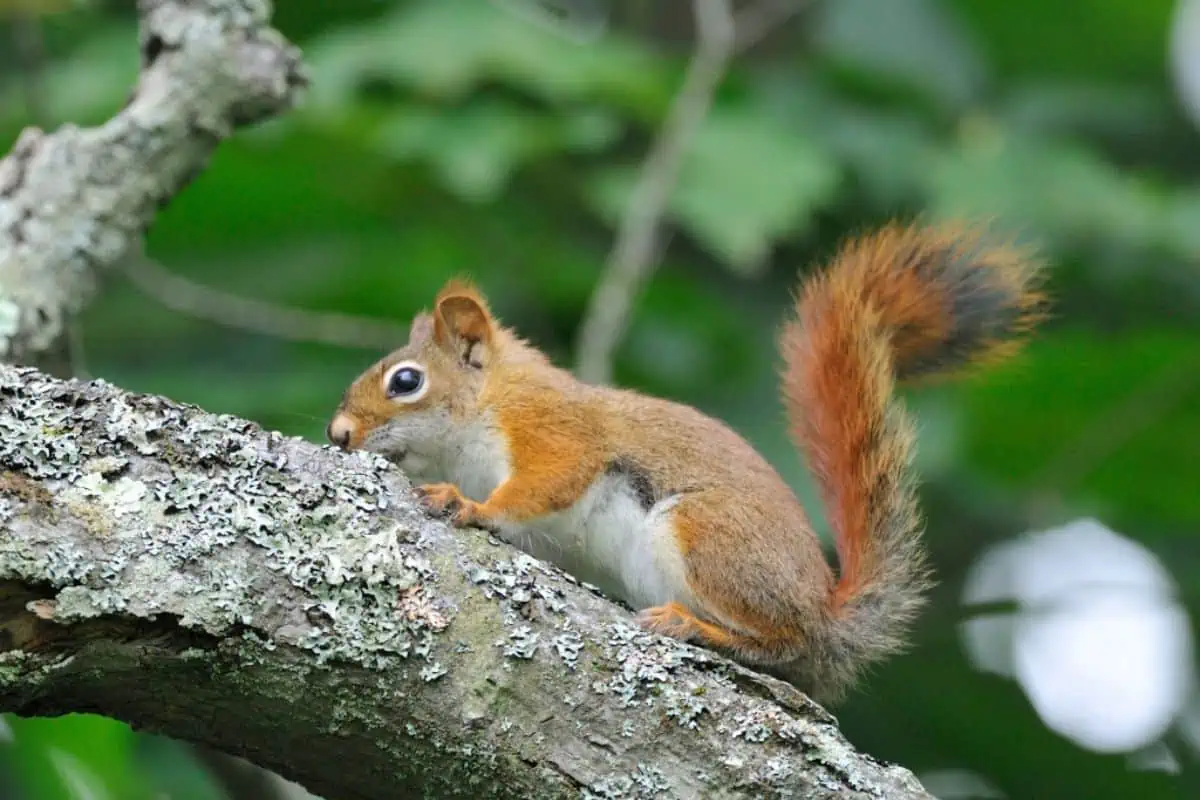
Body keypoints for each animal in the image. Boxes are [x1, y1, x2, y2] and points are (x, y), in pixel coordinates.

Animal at [326, 221, 1041, 705]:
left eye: (406, 381)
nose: (337, 434)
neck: (489, 401)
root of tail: (825, 614)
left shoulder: (554, 430)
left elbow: (546, 482)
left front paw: (468, 505)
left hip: (705, 536)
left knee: (782, 641)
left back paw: (694, 626)